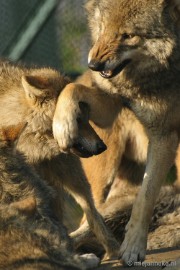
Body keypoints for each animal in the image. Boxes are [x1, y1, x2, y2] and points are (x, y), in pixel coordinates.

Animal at [0, 59, 121, 268]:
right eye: (77, 119)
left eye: (85, 118)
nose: (102, 147)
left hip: (70, 175)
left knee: (91, 212)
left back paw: (111, 251)